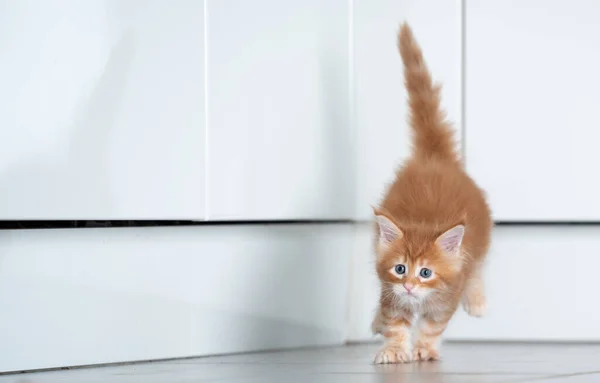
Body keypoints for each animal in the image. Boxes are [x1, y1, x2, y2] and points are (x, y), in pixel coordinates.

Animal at [370, 22, 492, 364]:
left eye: (425, 273)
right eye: (400, 269)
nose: (411, 286)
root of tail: (434, 158)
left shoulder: (446, 297)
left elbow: (432, 326)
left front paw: (423, 348)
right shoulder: (392, 293)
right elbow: (395, 321)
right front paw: (394, 349)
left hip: (480, 239)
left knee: (478, 266)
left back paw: (477, 301)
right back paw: (375, 322)